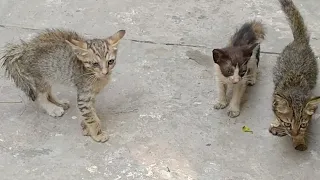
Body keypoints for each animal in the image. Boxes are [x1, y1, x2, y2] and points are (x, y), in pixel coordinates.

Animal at [268, 0, 318, 152]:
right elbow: (277, 112)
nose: (294, 133)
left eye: (302, 125)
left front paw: (299, 140)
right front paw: (276, 121)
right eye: (288, 124)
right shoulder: (276, 96)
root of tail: (300, 42)